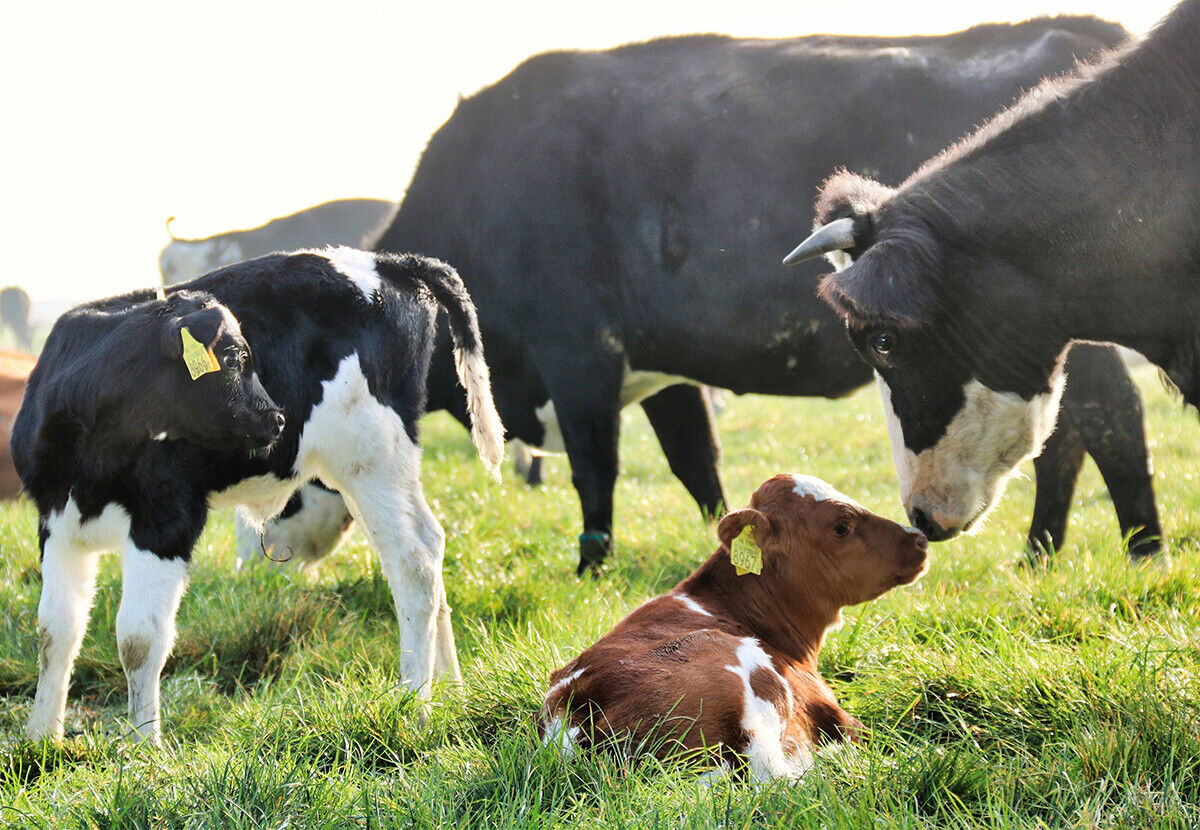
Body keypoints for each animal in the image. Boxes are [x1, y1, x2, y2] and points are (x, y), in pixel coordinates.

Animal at [13, 247, 504, 744]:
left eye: (246, 357)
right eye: (231, 359)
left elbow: (138, 638)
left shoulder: (167, 518)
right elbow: (55, 631)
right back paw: (452, 694)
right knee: (430, 543)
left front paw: (144, 747)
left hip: (372, 456)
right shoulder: (56, 522)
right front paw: (41, 739)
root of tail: (390, 262)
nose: (278, 418)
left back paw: (415, 706)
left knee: (414, 559)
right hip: (371, 470)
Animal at [326, 18, 1157, 576]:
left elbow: (596, 467)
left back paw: (1133, 550)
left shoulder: (578, 353)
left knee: (1105, 417)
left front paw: (590, 567)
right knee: (1076, 429)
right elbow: (697, 463)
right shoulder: (661, 367)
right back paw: (1054, 553)